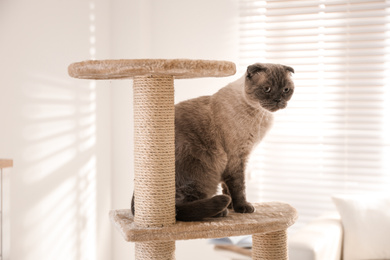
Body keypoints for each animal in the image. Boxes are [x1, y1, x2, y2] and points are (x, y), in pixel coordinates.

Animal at [130, 63, 292, 221]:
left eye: (286, 90)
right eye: (267, 89)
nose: (278, 100)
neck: (260, 114)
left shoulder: (237, 159)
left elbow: (227, 187)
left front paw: (233, 207)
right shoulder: (236, 158)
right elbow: (238, 187)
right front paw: (242, 207)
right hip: (204, 168)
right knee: (180, 208)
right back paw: (220, 212)